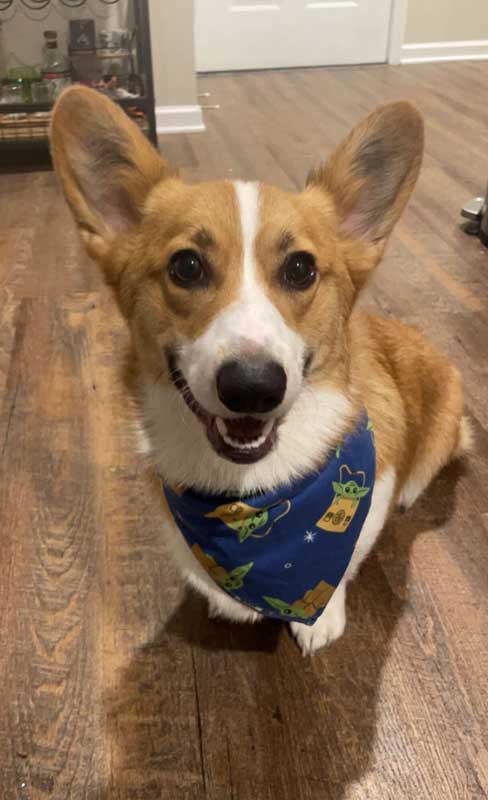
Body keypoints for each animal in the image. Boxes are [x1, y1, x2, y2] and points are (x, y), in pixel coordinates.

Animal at [51, 87, 470, 652]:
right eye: (186, 266)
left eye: (301, 269)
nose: (253, 388)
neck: (249, 495)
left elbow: (345, 569)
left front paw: (321, 621)